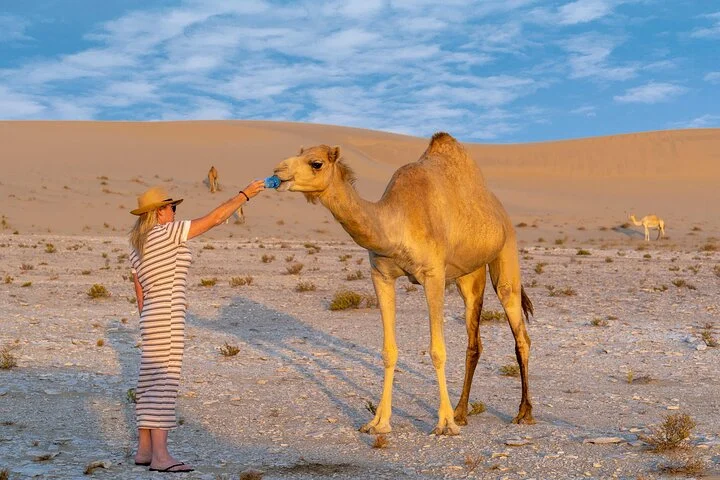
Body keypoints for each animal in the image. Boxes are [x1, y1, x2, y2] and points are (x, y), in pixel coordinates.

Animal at [273, 132, 534, 436]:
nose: (278, 171)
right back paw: (461, 412)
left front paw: (444, 424)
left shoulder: (433, 275)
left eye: (316, 163)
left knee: (519, 330)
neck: (396, 223)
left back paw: (523, 412)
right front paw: (379, 422)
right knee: (474, 341)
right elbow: (389, 351)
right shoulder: (381, 275)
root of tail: (500, 212)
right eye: (298, 153)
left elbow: (437, 350)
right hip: (468, 274)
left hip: (506, 252)